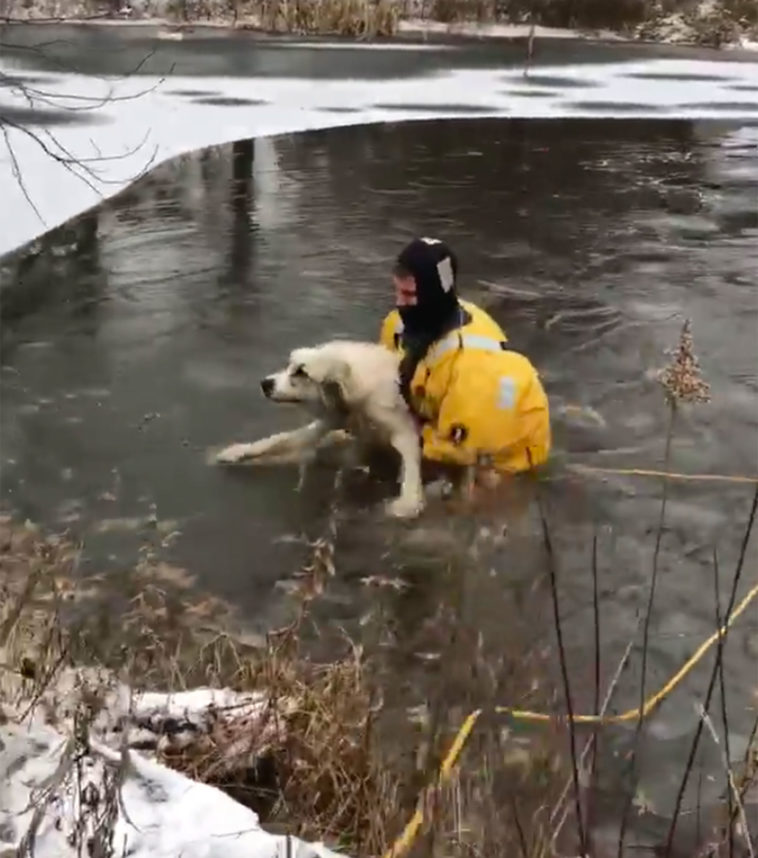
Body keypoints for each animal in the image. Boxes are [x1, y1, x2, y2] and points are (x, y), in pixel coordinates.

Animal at [217, 340, 424, 516]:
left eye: (301, 372)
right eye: (289, 365)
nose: (264, 383)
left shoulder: (401, 428)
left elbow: (410, 461)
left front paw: (408, 502)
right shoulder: (332, 419)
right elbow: (279, 439)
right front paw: (238, 451)